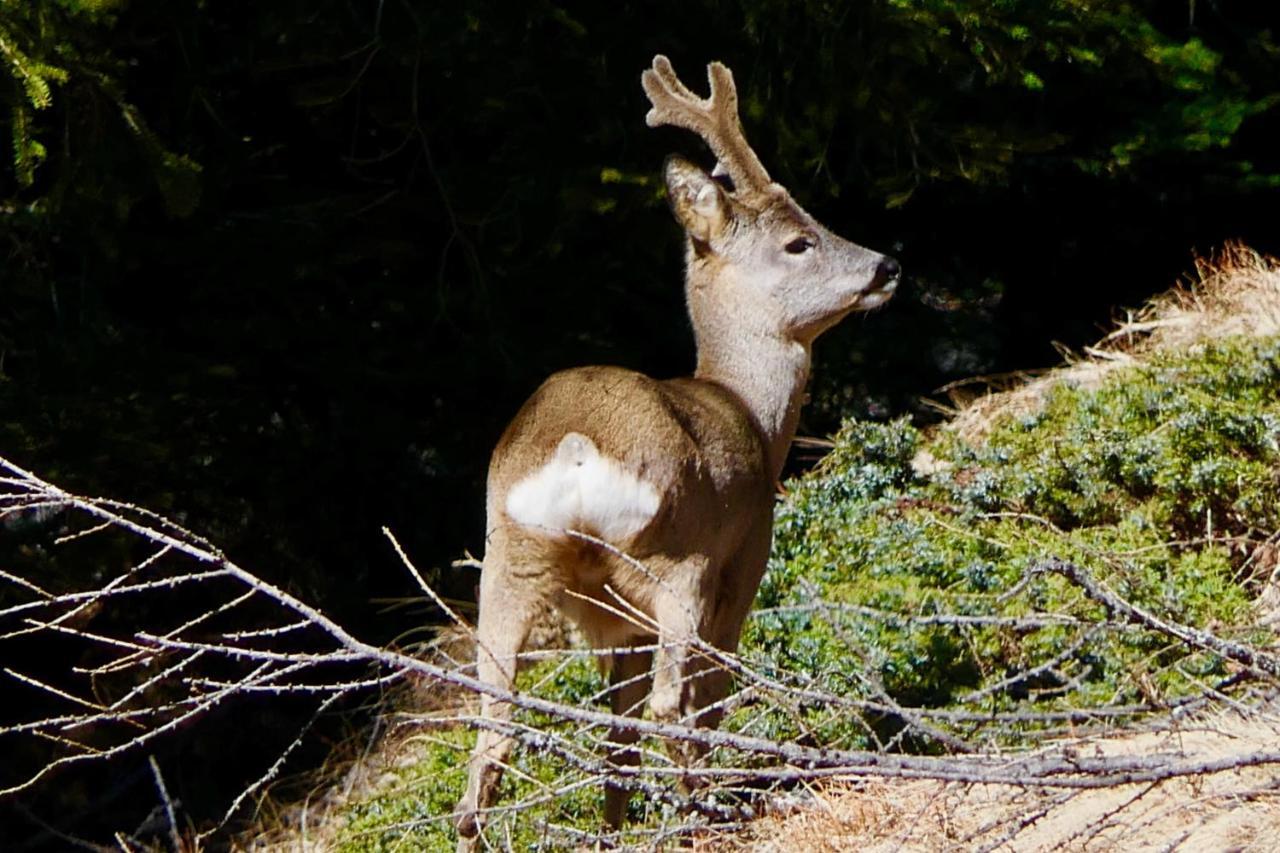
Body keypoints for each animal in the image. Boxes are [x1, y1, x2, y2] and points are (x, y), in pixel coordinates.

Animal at [453, 54, 901, 845]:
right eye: (799, 240)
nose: (886, 265)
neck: (750, 411)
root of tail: (575, 449)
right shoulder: (745, 558)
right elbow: (709, 697)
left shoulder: (613, 624)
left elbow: (616, 735)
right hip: (674, 556)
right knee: (677, 704)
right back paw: (703, 814)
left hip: (512, 563)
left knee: (495, 732)